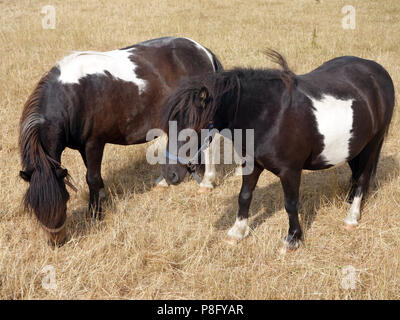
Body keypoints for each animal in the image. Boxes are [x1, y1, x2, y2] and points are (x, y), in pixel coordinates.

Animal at [18, 36, 222, 245]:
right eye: (34, 207)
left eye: (64, 200)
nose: (56, 241)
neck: (72, 97)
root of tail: (202, 50)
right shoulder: (83, 147)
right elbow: (94, 174)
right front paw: (101, 195)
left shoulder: (94, 143)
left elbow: (91, 177)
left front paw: (95, 213)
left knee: (209, 145)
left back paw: (207, 182)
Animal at [161, 49, 396, 250]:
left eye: (193, 128)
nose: (170, 174)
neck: (269, 115)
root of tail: (379, 71)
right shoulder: (251, 164)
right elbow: (244, 196)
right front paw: (238, 231)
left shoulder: (290, 171)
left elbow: (291, 204)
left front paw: (293, 239)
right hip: (355, 146)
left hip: (372, 145)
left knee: (363, 178)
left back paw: (351, 217)